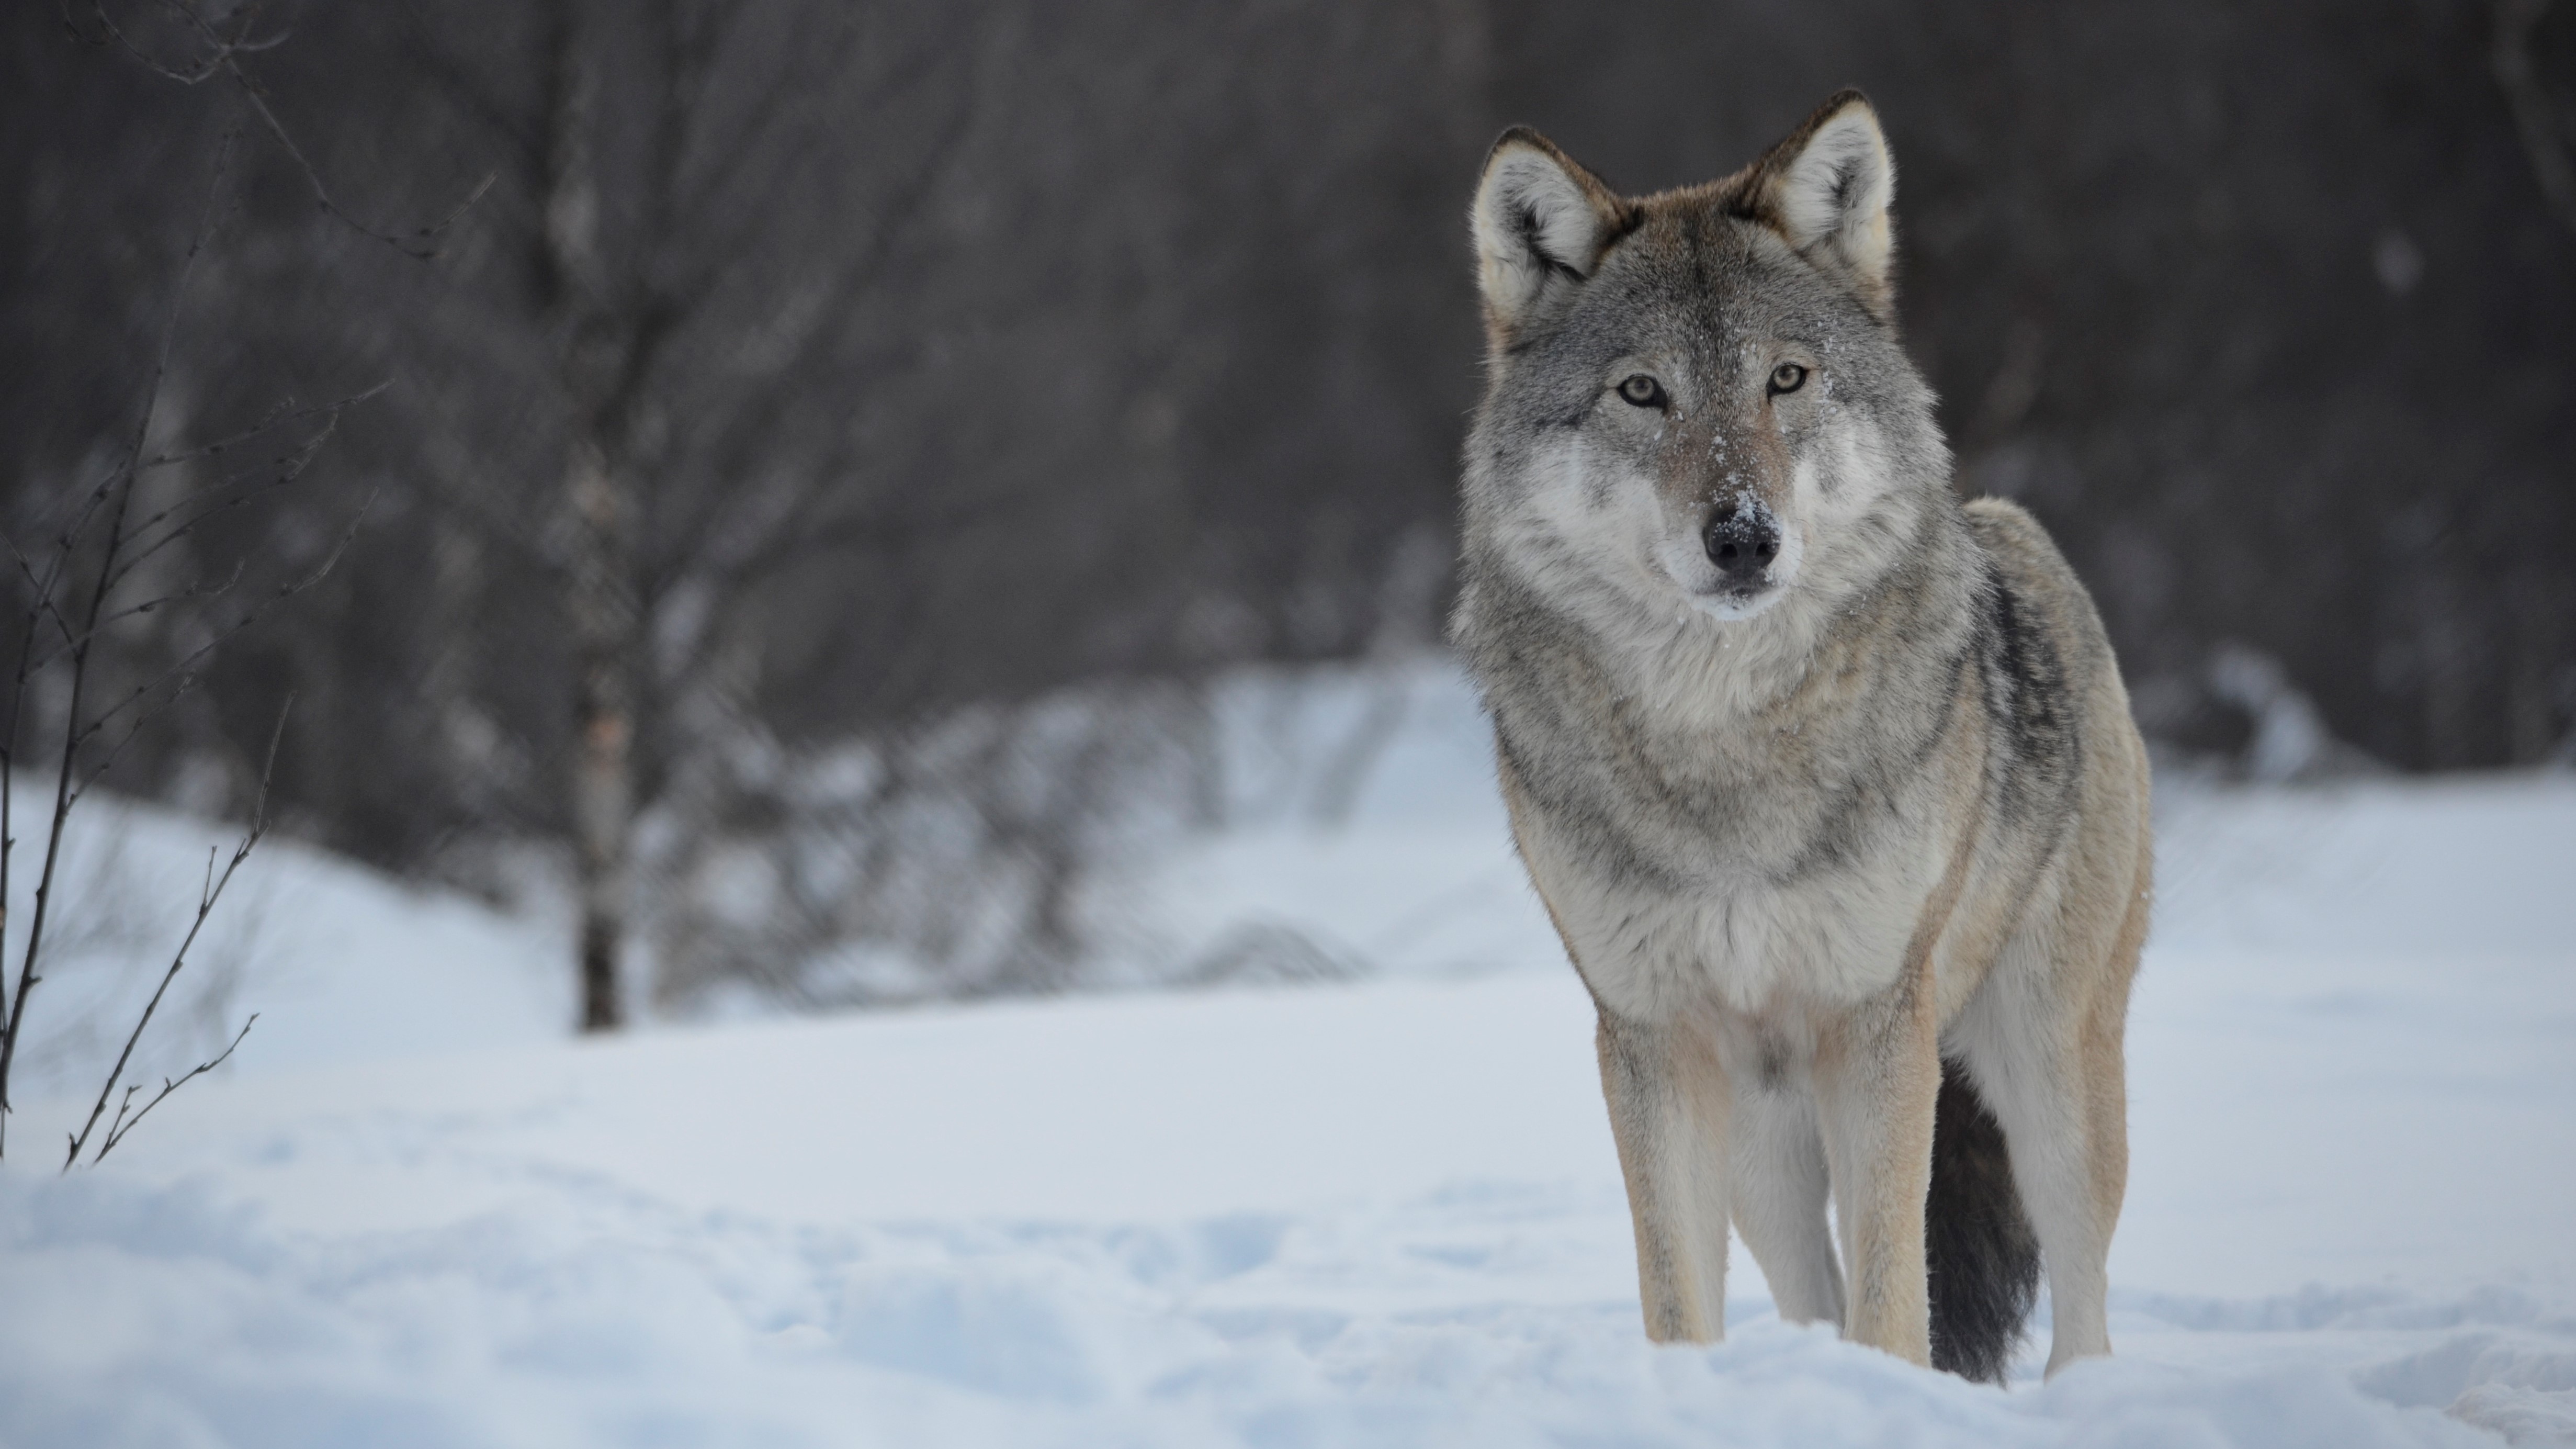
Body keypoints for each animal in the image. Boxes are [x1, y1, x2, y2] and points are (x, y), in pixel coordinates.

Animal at [1453, 90, 2153, 1372]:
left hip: (2047, 1074)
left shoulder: (1875, 1024)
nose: (1743, 536)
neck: (1724, 749)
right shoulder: (1650, 1042)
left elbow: (1891, 1298)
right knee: (1807, 1292)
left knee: (2082, 1305)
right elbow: (1678, 1298)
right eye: (1643, 392)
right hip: (1761, 1148)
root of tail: (2012, 529)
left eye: (1784, 378)